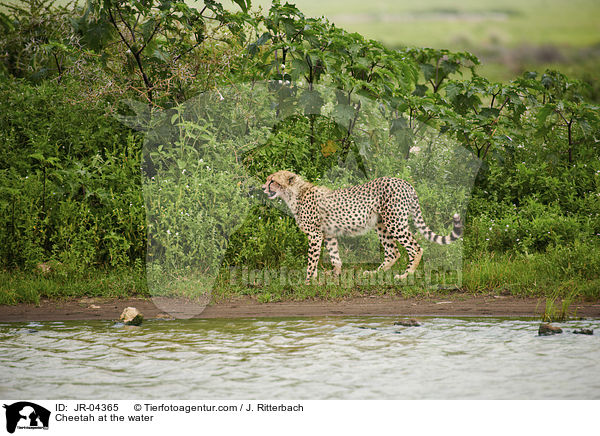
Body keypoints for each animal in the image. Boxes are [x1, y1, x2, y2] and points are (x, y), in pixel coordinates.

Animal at [262, 169, 464, 284]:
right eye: (267, 179)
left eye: (273, 181)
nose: (263, 188)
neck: (294, 193)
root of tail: (404, 182)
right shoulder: (328, 233)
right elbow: (335, 257)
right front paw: (334, 276)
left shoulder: (315, 234)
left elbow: (312, 261)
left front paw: (307, 280)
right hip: (381, 224)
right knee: (393, 252)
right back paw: (374, 273)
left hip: (395, 222)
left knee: (415, 248)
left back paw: (405, 276)